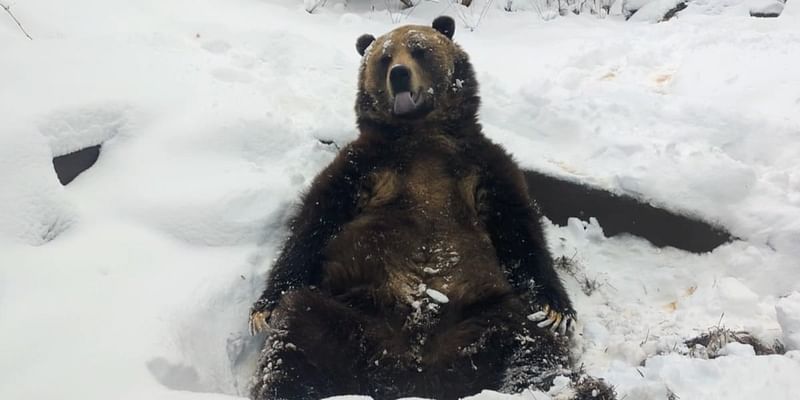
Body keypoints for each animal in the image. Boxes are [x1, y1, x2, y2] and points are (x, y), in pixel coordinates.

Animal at [248, 15, 612, 400]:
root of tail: (413, 373)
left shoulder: (479, 163)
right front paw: (262, 309)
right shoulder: (367, 163)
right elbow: (317, 217)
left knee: (528, 341)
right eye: (384, 57)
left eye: (419, 49)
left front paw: (556, 310)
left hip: (482, 313)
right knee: (297, 333)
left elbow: (519, 227)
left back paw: (573, 387)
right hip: (350, 308)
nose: (399, 74)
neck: (422, 133)